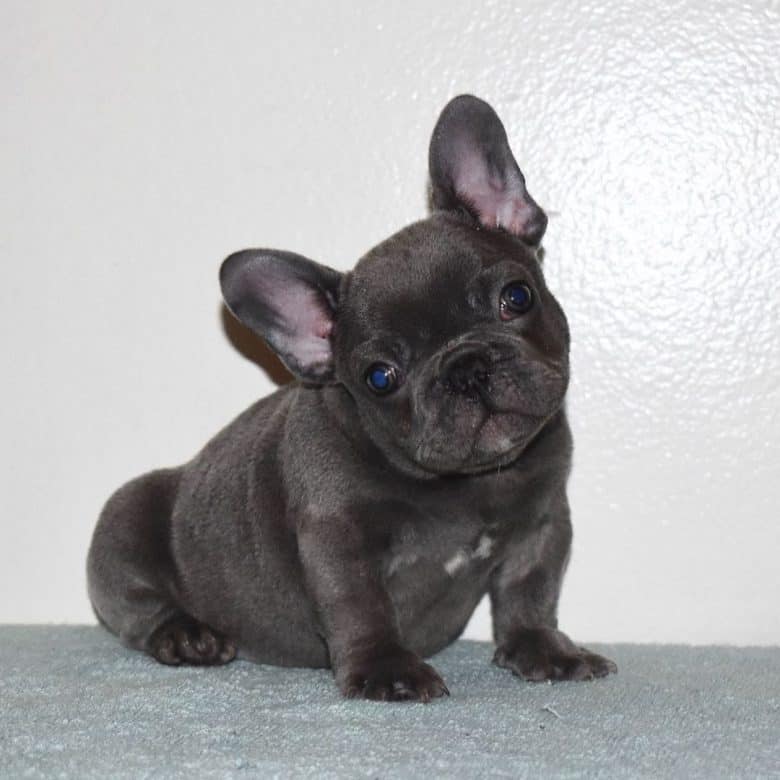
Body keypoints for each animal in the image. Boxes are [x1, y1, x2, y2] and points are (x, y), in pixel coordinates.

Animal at [88, 94, 620, 696]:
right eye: (380, 377)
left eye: (517, 296)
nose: (465, 367)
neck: (469, 483)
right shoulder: (338, 538)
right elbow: (359, 606)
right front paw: (387, 669)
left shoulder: (542, 522)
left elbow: (530, 590)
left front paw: (543, 649)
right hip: (124, 517)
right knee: (138, 608)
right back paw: (185, 636)